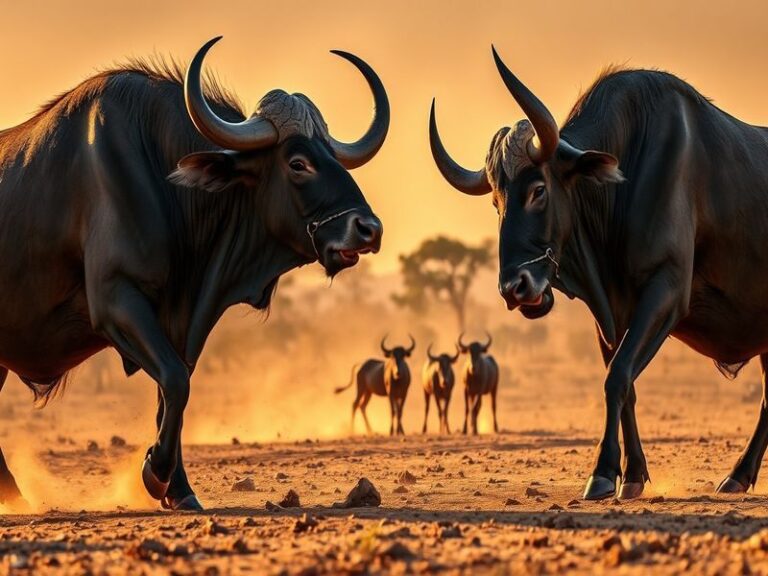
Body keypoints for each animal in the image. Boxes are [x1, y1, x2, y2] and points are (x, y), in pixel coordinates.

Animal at [0, 37, 389, 509]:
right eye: (298, 163)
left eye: (336, 158)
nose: (368, 229)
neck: (160, 175)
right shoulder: (117, 302)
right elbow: (176, 382)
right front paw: (155, 475)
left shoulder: (181, 322)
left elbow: (171, 396)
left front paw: (179, 489)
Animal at [431, 46, 768, 500]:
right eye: (496, 200)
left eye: (538, 190)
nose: (514, 288)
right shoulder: (609, 312)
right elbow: (626, 387)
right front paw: (634, 473)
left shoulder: (664, 293)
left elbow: (617, 376)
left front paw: (604, 472)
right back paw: (738, 475)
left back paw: (738, 473)